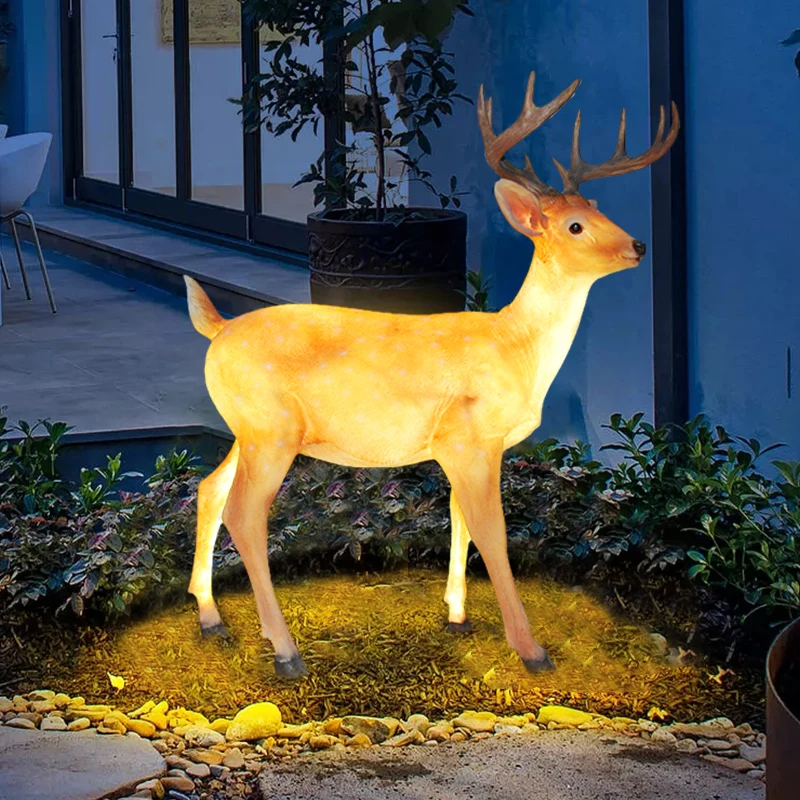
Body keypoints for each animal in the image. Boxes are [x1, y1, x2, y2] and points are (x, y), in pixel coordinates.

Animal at [183, 70, 679, 679]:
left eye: (597, 206)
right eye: (575, 225)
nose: (637, 245)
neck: (518, 348)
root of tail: (217, 328)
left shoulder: (462, 447)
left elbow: (458, 519)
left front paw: (457, 614)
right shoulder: (470, 435)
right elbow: (492, 531)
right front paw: (530, 649)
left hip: (248, 427)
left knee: (208, 488)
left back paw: (211, 618)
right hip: (271, 428)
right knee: (245, 514)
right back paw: (285, 650)